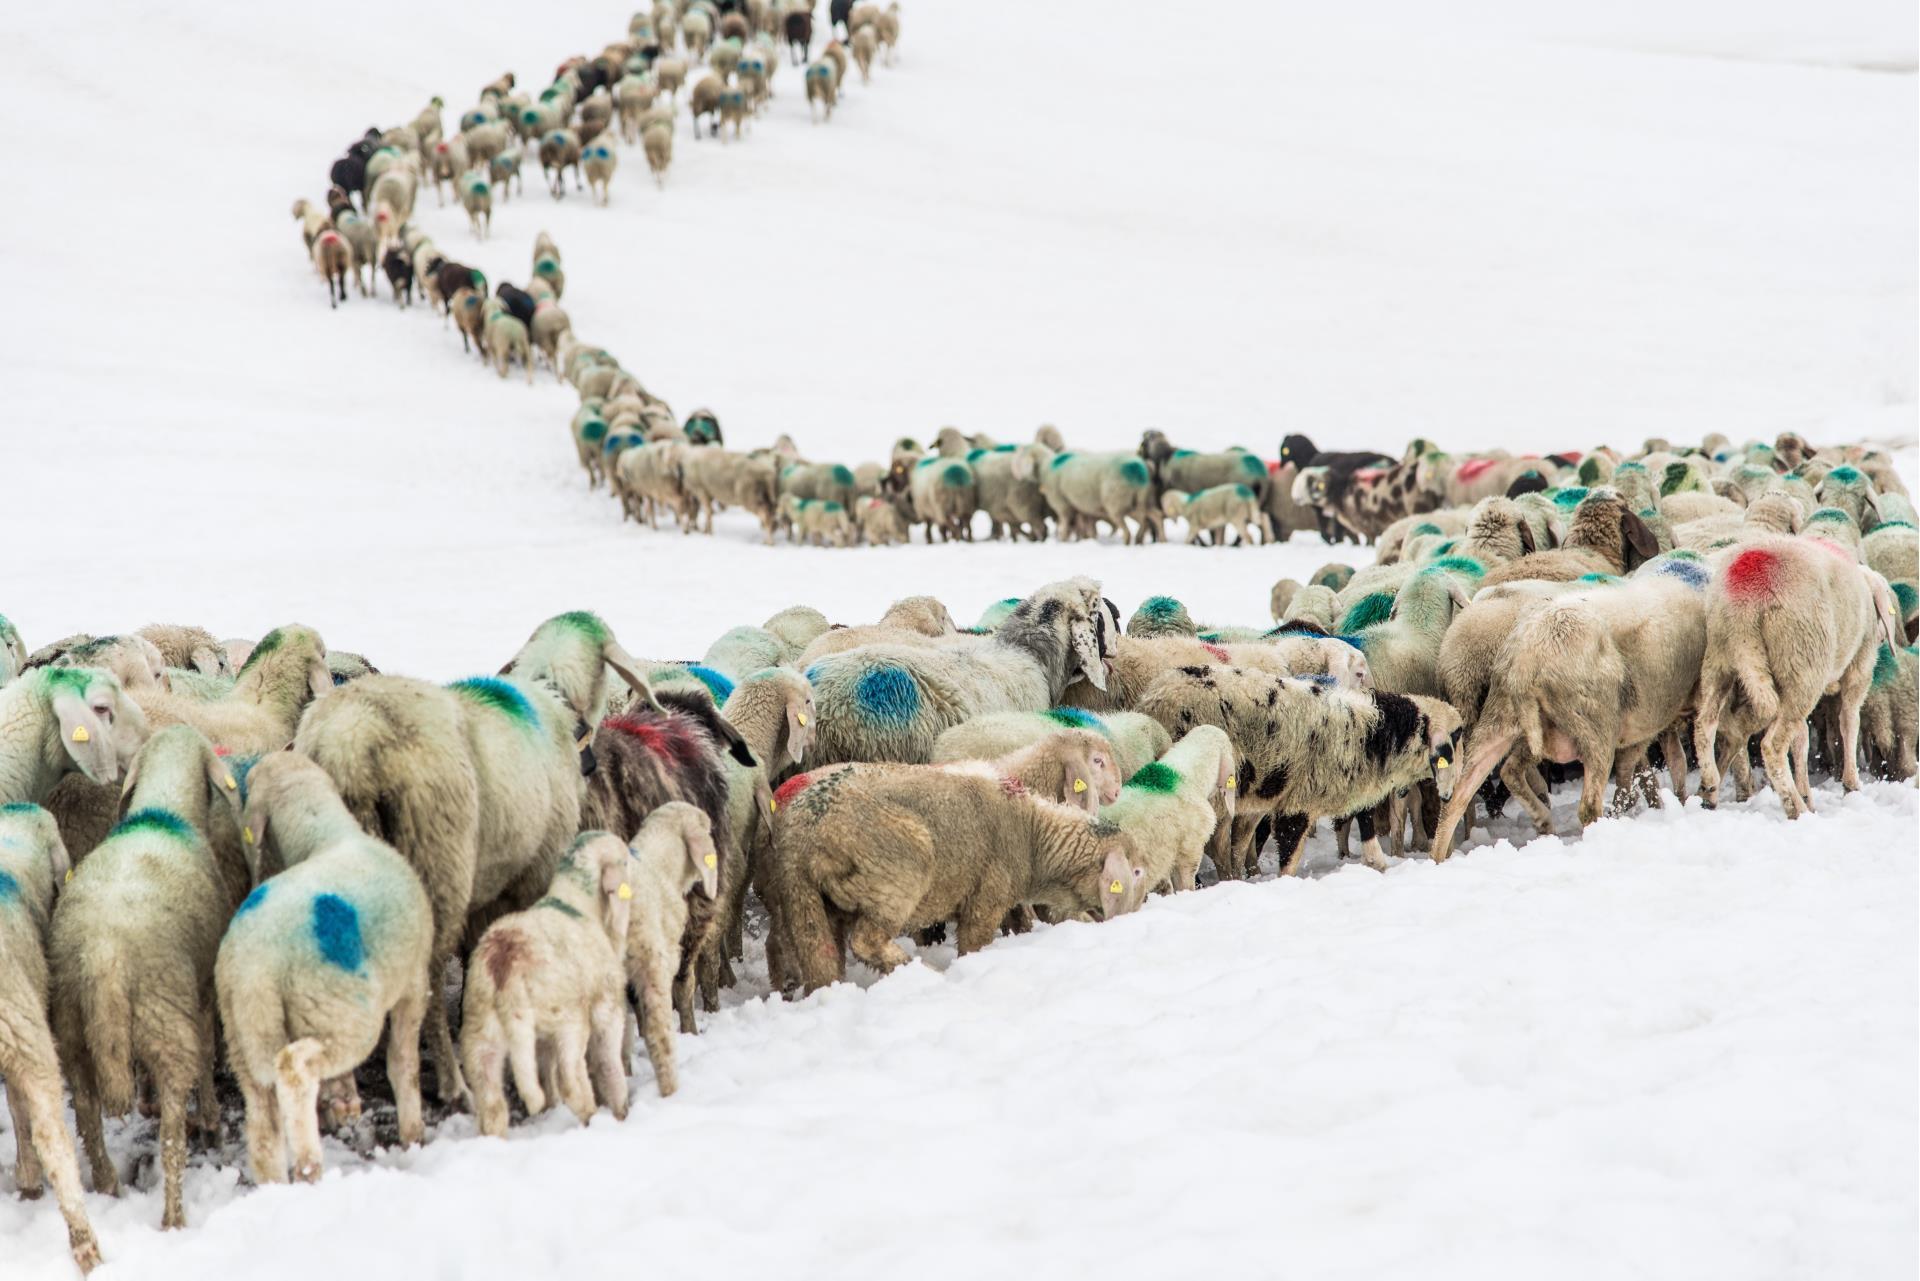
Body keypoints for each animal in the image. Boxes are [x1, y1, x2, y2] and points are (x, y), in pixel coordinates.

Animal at [48, 725, 241, 1229]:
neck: (164, 810)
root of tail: (104, 957)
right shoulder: (202, 988)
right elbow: (209, 1053)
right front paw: (212, 1117)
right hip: (165, 1020)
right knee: (172, 1137)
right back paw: (174, 1217)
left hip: (73, 1032)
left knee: (88, 1119)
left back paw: (109, 1186)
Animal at [771, 760, 1144, 990]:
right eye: (1137, 871)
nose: (1133, 916)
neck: (1033, 834)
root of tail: (808, 828)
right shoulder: (987, 895)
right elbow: (974, 942)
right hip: (898, 868)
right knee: (866, 940)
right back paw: (921, 971)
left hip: (802, 897)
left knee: (820, 961)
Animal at [1689, 537, 1896, 818]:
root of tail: (1745, 606)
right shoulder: (1860, 666)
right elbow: (1849, 721)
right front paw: (1851, 786)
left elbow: (1801, 738)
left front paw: (1807, 792)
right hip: (1802, 662)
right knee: (1773, 745)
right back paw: (1796, 808)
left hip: (1721, 658)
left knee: (1705, 725)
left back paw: (1709, 790)